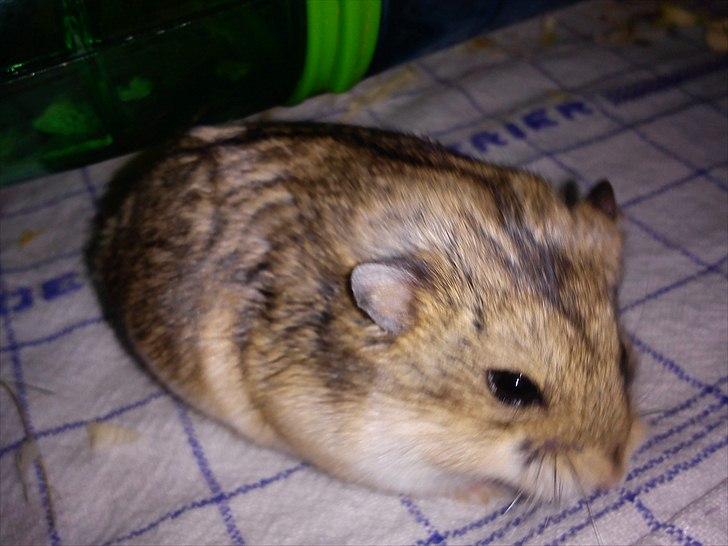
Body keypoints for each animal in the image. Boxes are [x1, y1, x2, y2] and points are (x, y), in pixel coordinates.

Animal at [93, 122, 642, 503]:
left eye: (623, 358)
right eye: (512, 387)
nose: (614, 476)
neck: (433, 420)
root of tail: (118, 213)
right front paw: (483, 495)